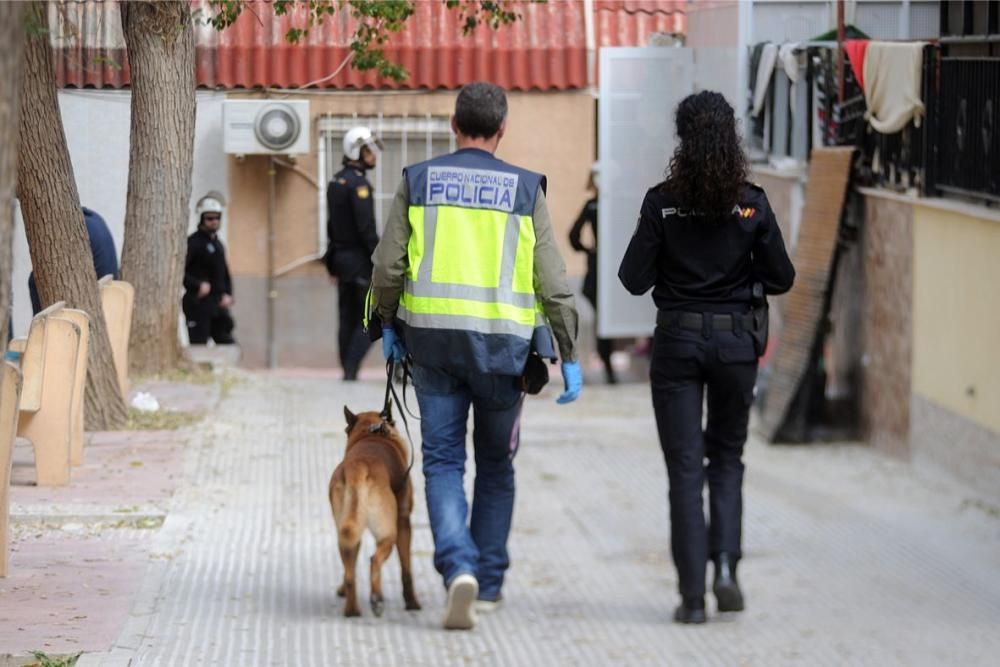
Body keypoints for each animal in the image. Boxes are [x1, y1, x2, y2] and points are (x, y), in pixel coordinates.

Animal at [330, 404, 420, 620]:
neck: (370, 433)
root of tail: (358, 467)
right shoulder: (403, 522)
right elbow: (406, 569)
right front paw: (412, 603)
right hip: (388, 532)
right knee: (374, 560)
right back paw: (376, 599)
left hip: (346, 533)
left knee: (350, 573)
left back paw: (352, 610)